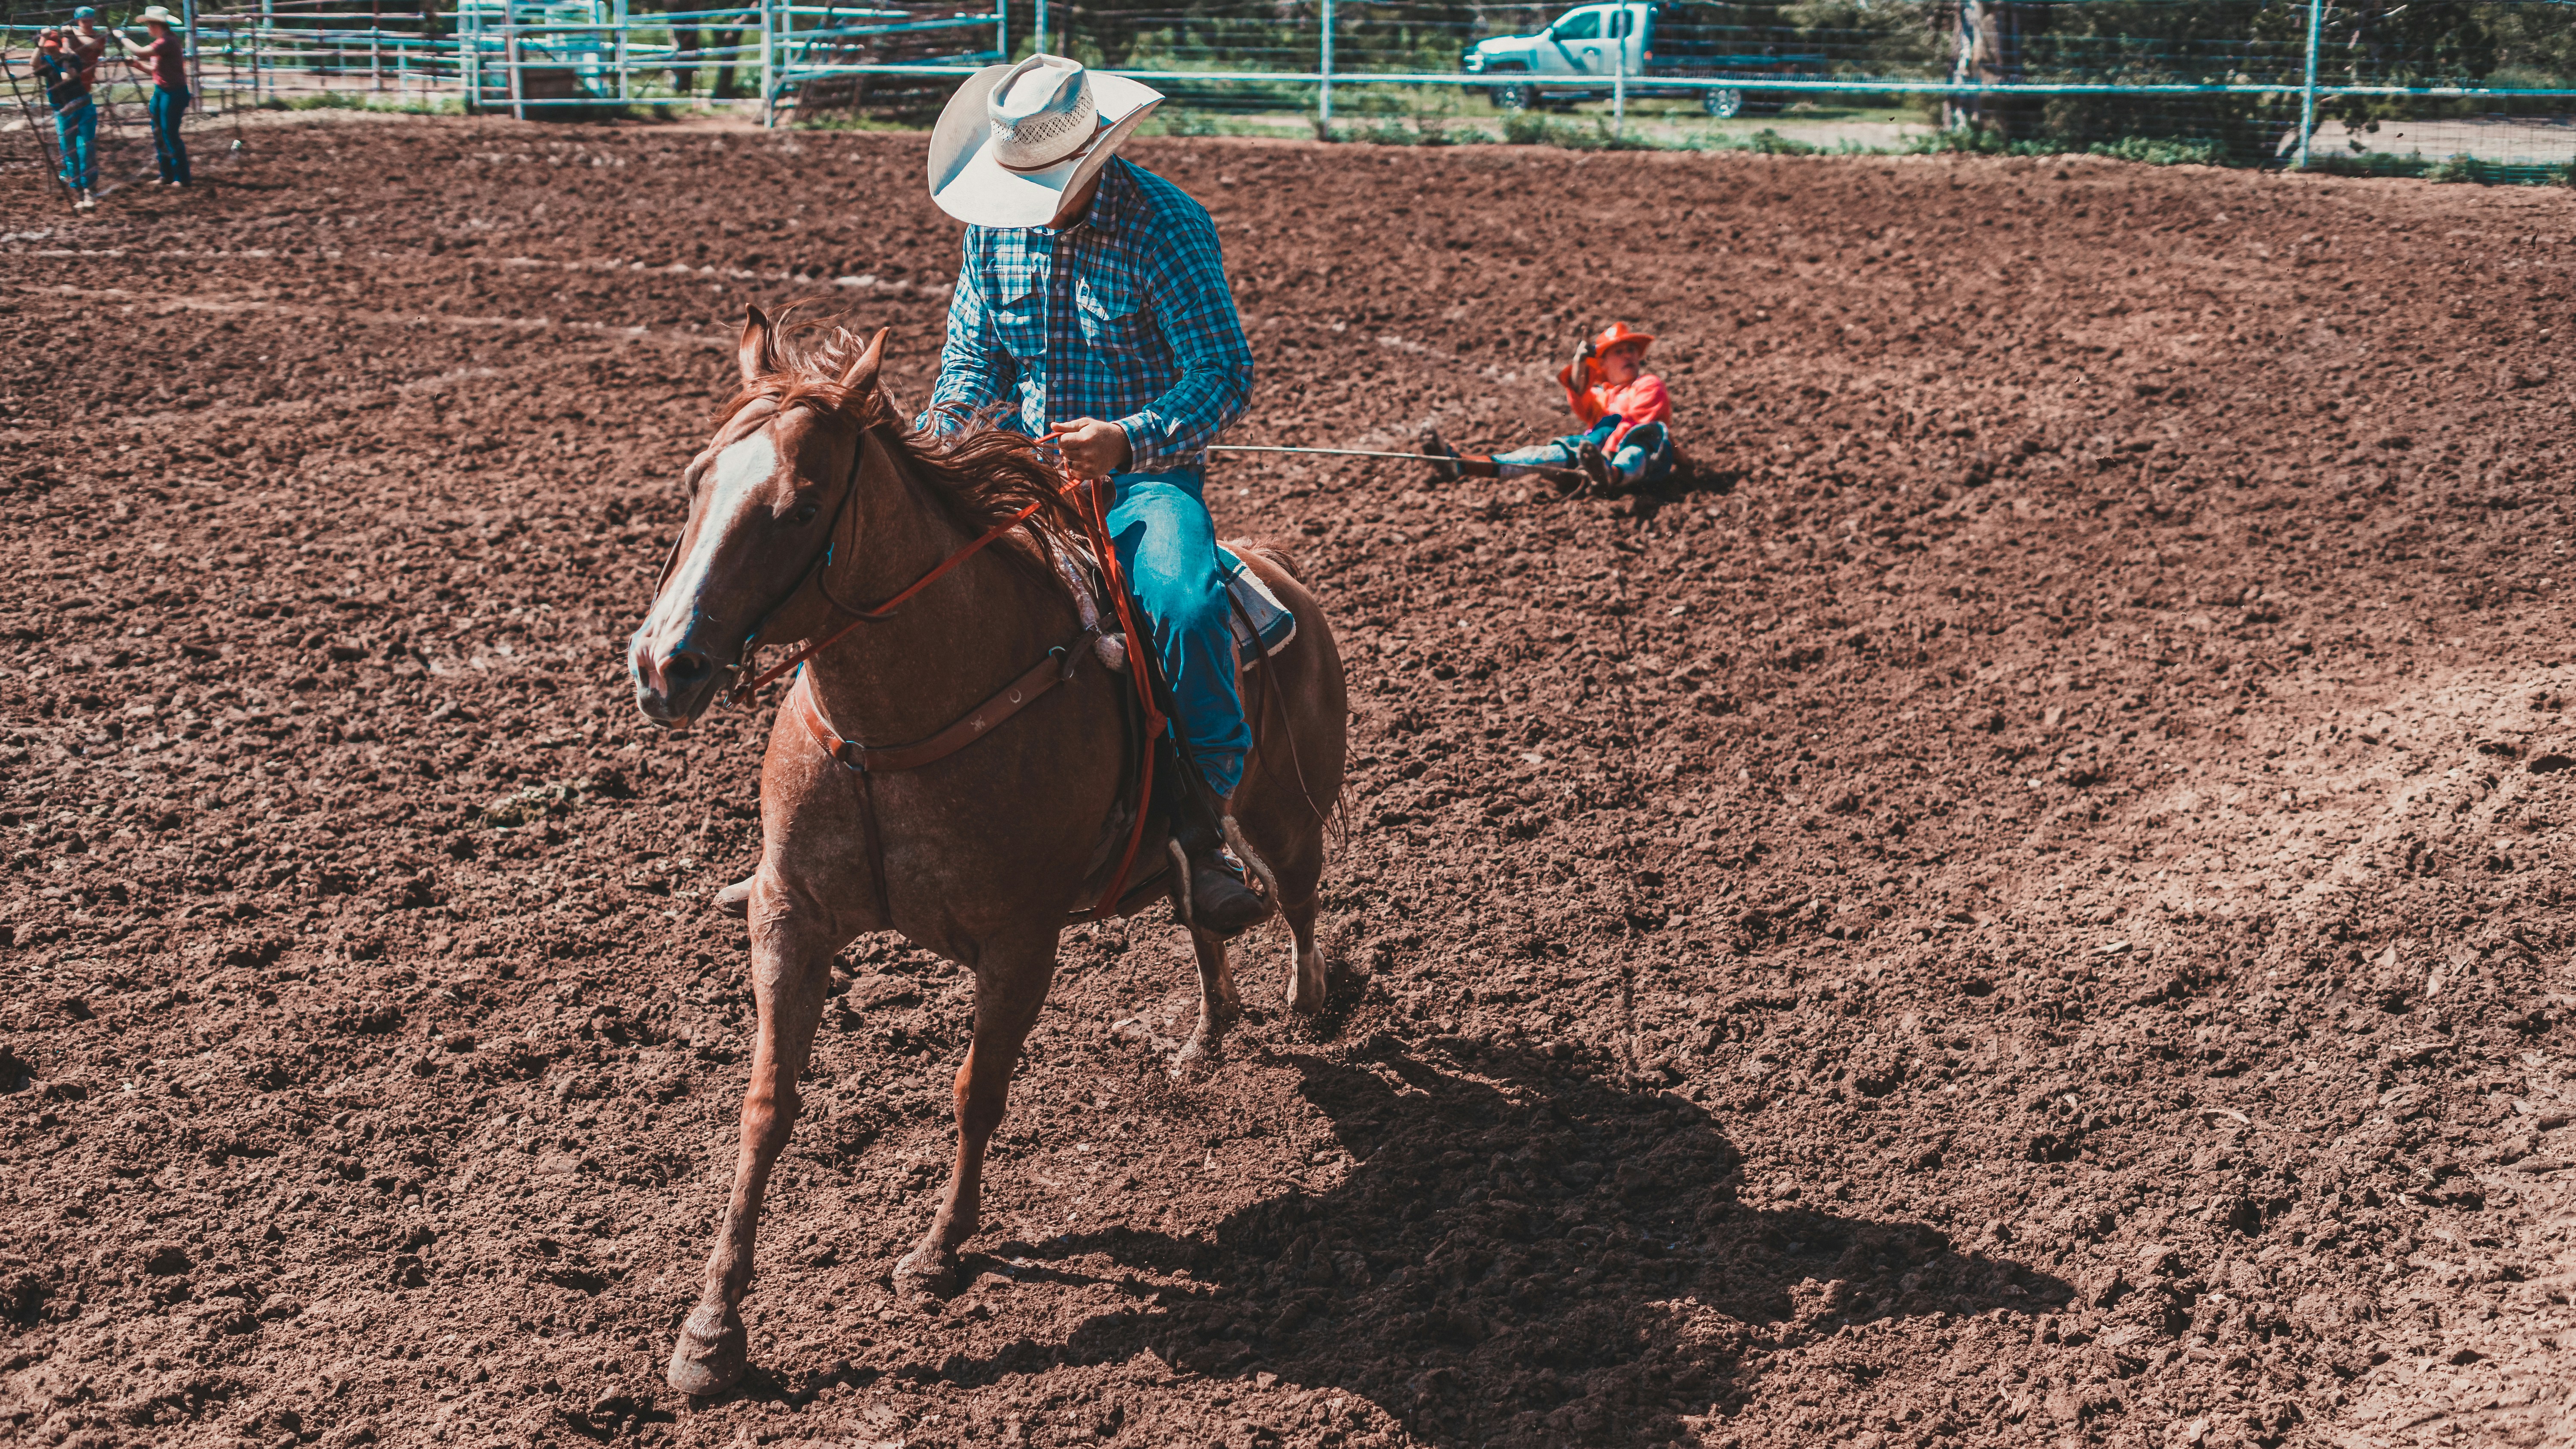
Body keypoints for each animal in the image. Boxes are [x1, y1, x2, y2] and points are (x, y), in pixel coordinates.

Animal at [627, 308, 1348, 1396]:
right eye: (695, 479)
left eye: (801, 508)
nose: (665, 666)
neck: (893, 729)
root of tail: (1274, 576)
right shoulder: (789, 914)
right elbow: (766, 1105)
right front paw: (711, 1331)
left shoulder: (1021, 942)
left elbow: (976, 1089)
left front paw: (938, 1253)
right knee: (1205, 916)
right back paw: (1206, 1036)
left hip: (1288, 814)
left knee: (1298, 902)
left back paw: (1306, 1007)